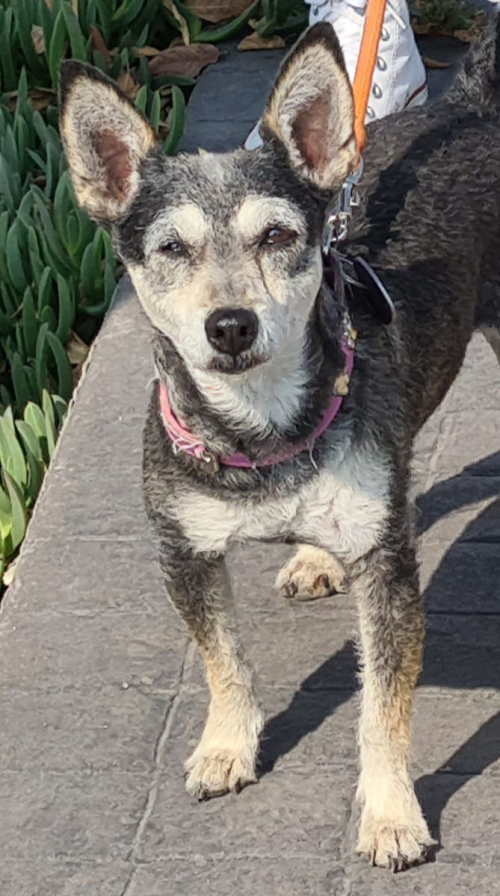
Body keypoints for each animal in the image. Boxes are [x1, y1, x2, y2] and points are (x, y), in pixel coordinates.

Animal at [59, 18, 500, 870]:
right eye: (169, 250)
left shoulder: (388, 572)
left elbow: (382, 712)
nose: (229, 324)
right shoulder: (185, 552)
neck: (262, 433)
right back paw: (314, 556)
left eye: (279, 236)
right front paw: (226, 747)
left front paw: (390, 815)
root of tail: (469, 102)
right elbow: (223, 661)